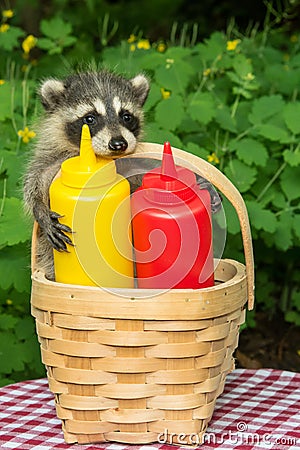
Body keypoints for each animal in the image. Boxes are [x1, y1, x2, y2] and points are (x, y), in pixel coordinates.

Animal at [23, 69, 150, 280]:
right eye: (90, 118)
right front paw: (39, 207)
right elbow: (35, 181)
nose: (118, 144)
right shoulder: (50, 158)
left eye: (126, 116)